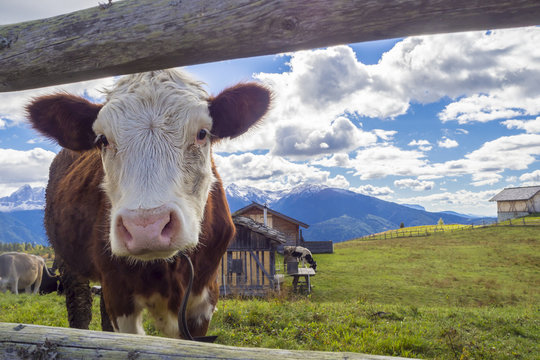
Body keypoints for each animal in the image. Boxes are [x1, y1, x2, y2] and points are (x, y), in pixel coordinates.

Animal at [26, 69, 270, 338]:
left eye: (202, 134)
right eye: (102, 140)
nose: (146, 227)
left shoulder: (205, 296)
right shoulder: (119, 294)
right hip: (70, 263)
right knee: (79, 306)